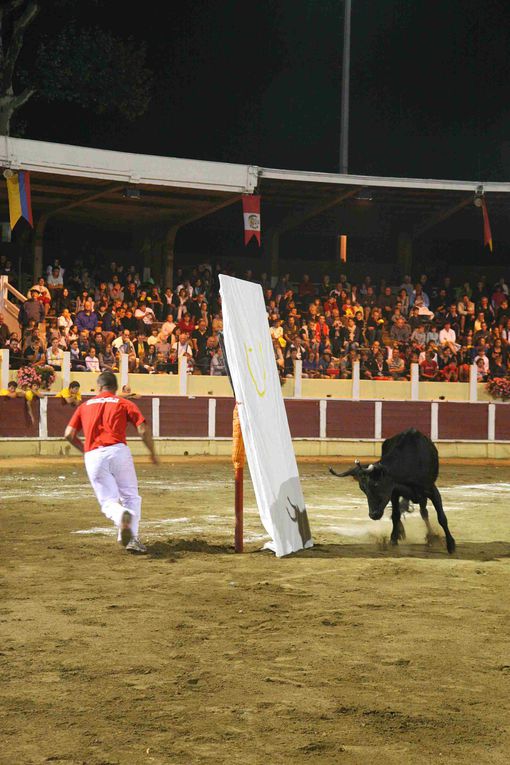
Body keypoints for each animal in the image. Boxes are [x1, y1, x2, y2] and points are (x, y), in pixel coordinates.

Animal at [328, 426, 456, 552]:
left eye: (376, 484)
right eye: (362, 489)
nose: (373, 515)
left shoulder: (432, 491)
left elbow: (441, 517)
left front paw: (451, 544)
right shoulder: (394, 492)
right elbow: (395, 515)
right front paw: (394, 538)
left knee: (424, 512)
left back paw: (431, 536)